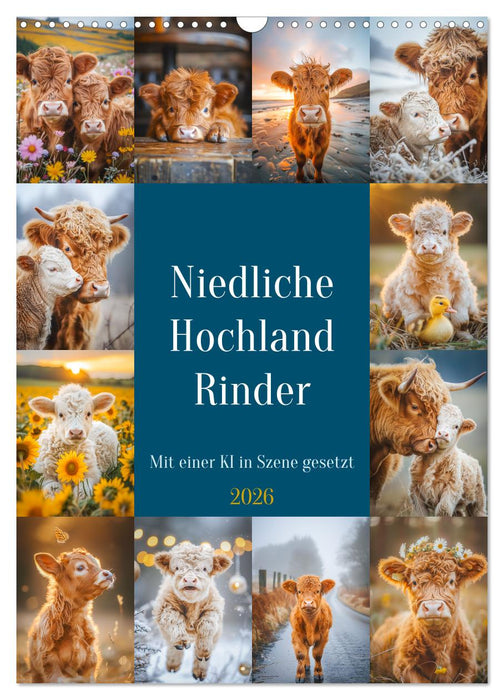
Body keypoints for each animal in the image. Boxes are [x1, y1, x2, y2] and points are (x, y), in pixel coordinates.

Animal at [371, 539, 487, 683]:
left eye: (451, 580)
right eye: (414, 582)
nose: (432, 607)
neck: (441, 647)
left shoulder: (471, 666)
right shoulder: (403, 667)